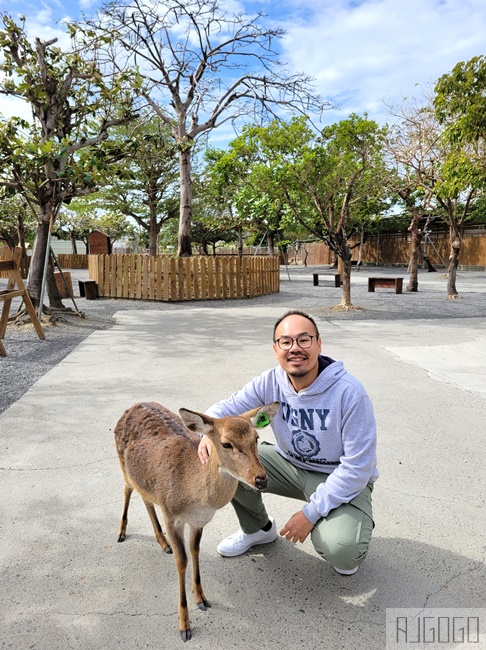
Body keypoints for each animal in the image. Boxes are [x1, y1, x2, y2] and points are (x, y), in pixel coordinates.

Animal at [114, 400, 280, 642]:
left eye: (256, 438)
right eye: (226, 443)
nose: (261, 479)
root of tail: (133, 406)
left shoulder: (199, 521)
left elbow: (195, 551)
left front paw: (201, 598)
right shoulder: (171, 515)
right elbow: (182, 561)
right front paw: (184, 626)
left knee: (146, 499)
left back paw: (162, 543)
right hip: (123, 466)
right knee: (127, 489)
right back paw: (121, 532)